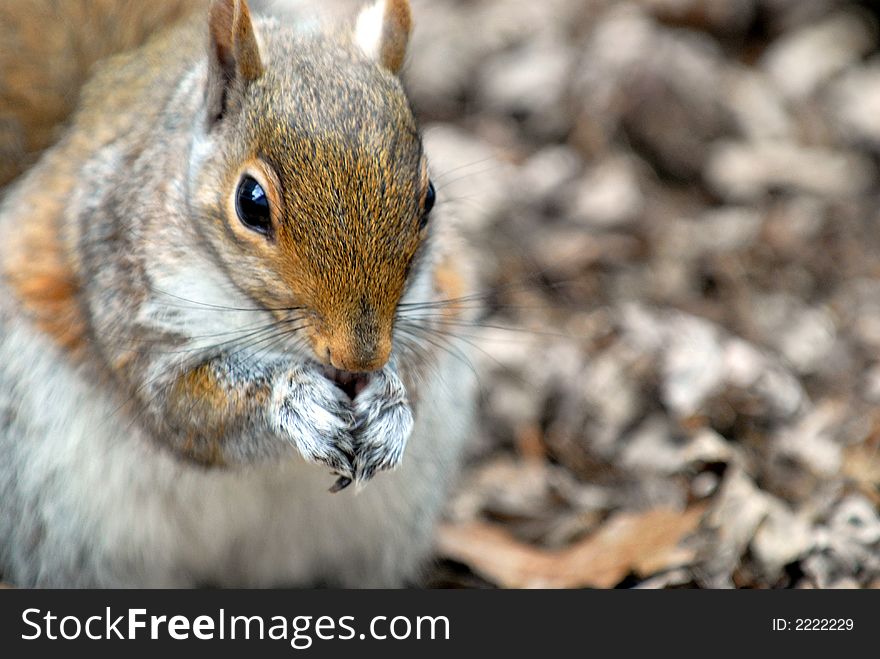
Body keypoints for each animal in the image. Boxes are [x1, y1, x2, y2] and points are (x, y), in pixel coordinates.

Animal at [0, 0, 474, 588]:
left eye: (429, 197)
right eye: (251, 202)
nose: (359, 358)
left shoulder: (429, 303)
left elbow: (417, 366)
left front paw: (388, 404)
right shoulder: (123, 288)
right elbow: (182, 406)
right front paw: (294, 398)